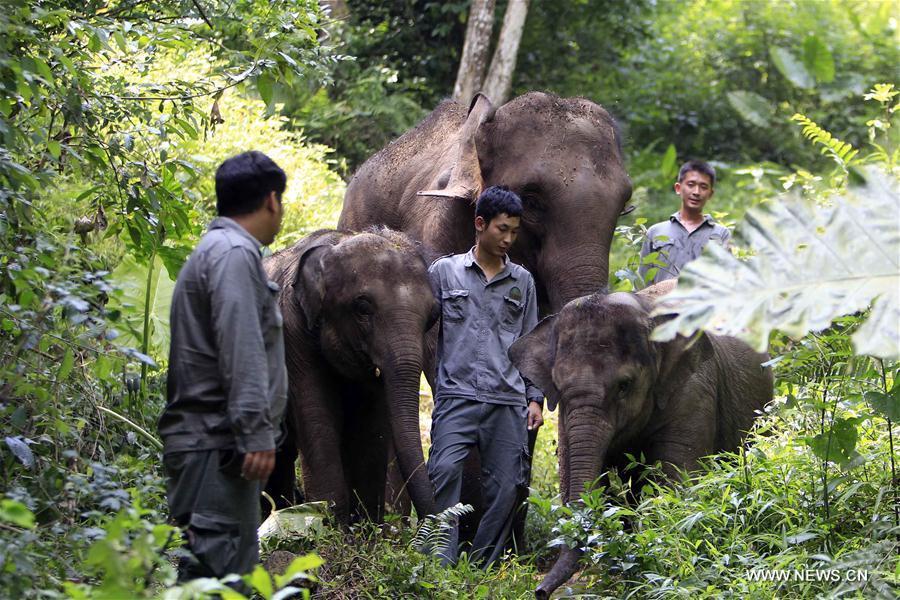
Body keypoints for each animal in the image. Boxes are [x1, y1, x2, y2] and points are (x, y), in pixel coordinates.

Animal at [262, 228, 438, 525]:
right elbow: (318, 417)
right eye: (363, 308)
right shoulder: (292, 333)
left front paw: (365, 527)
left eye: (433, 316)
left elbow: (371, 427)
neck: (334, 244)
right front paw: (327, 524)